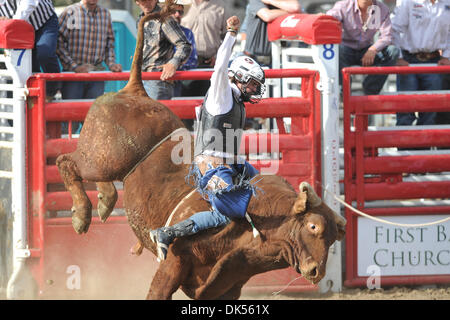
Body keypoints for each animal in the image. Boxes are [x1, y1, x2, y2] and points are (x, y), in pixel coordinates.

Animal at [55, 0, 344, 300]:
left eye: (332, 237)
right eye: (313, 226)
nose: (316, 271)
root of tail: (135, 90)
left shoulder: (229, 285)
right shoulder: (173, 264)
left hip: (108, 163)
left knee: (97, 178)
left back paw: (104, 201)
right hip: (103, 157)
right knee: (66, 161)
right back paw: (81, 215)